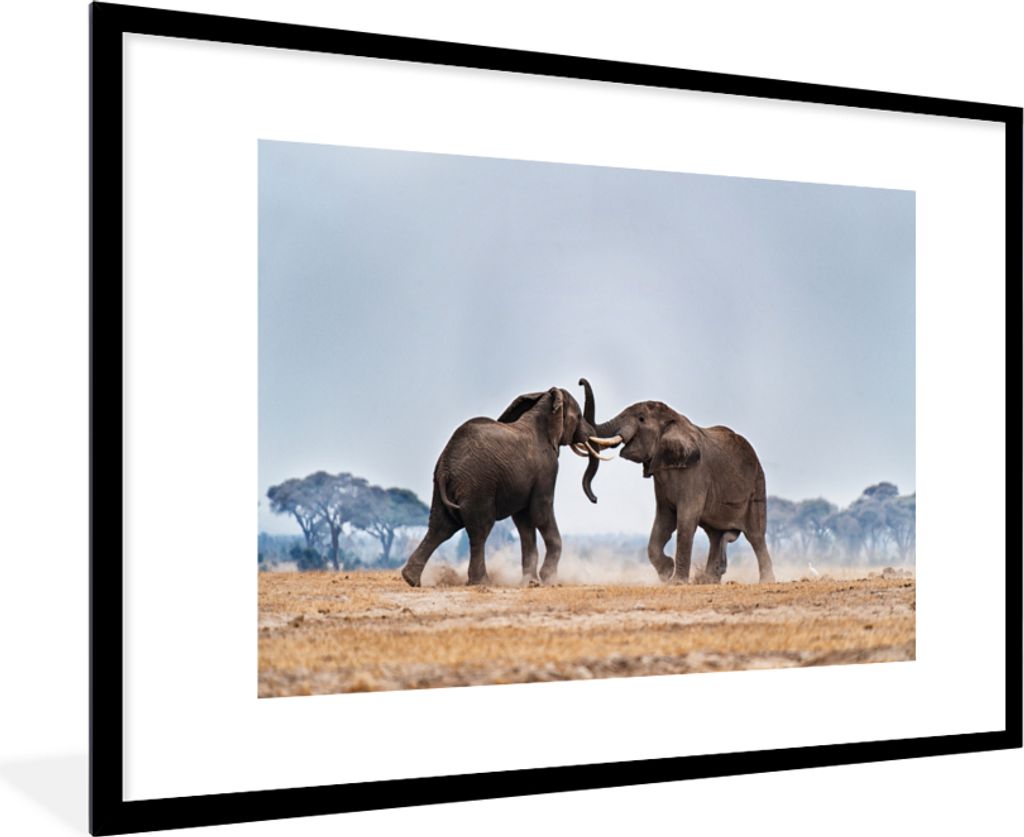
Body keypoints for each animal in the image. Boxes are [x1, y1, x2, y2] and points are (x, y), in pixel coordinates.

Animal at [400, 383, 603, 587]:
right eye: (579, 416)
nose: (595, 499)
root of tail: (445, 466)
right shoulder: (548, 467)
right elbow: (541, 512)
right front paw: (548, 580)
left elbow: (524, 521)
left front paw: (530, 582)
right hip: (478, 485)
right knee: (479, 530)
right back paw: (482, 582)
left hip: (444, 486)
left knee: (440, 527)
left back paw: (411, 579)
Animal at [580, 381, 776, 584]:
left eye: (641, 419)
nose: (595, 499)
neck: (675, 420)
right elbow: (663, 520)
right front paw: (667, 572)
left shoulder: (696, 474)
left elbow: (685, 520)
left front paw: (676, 581)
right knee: (715, 535)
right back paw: (708, 580)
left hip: (757, 484)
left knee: (755, 536)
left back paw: (766, 581)